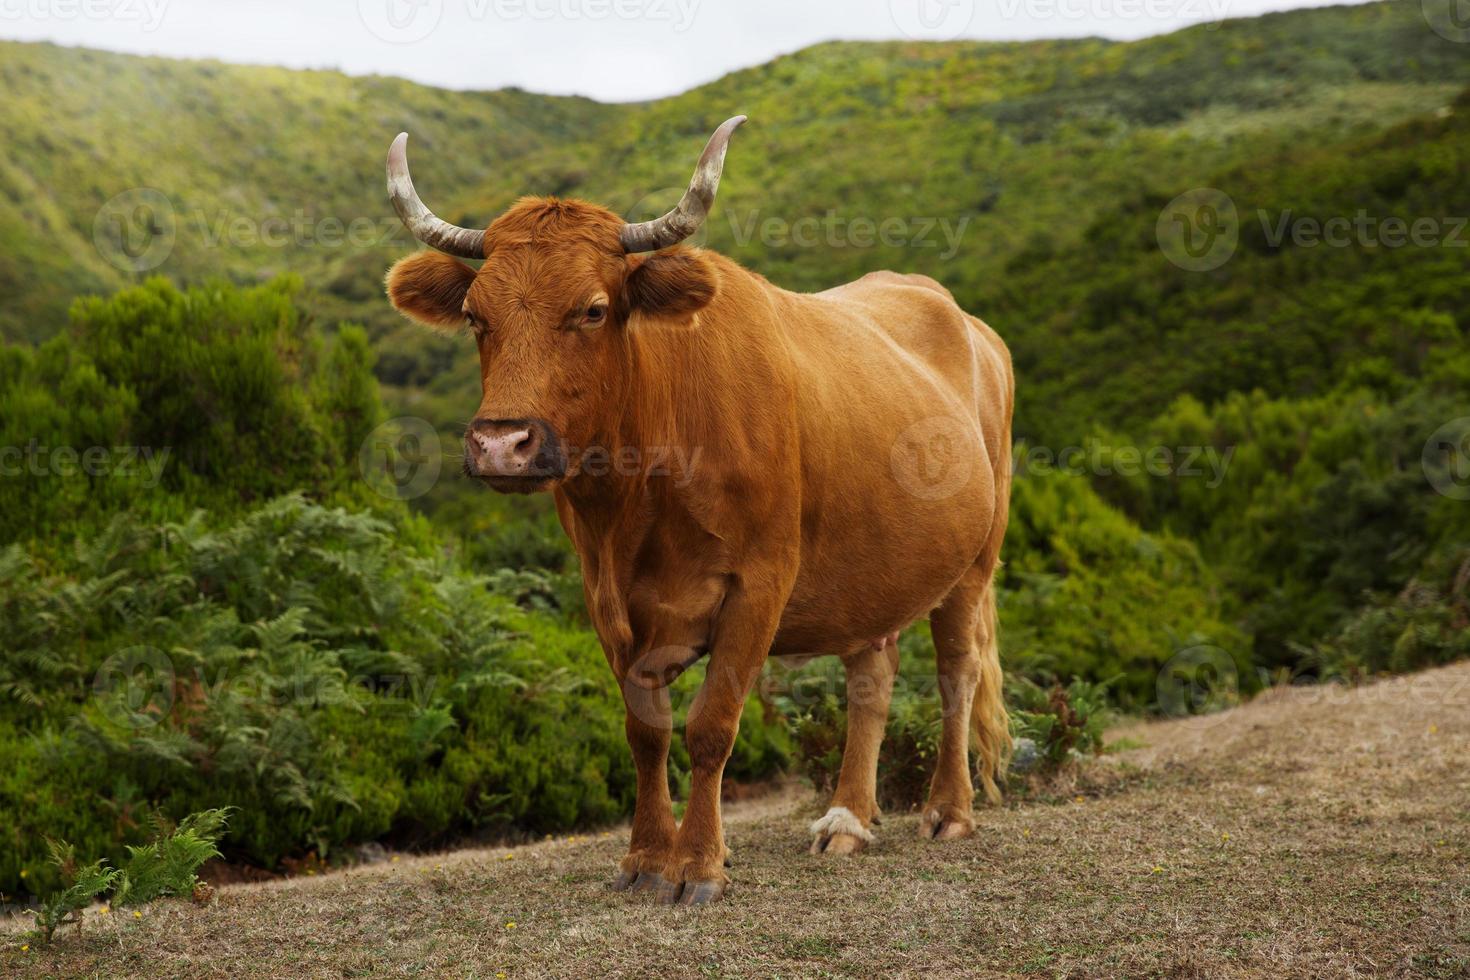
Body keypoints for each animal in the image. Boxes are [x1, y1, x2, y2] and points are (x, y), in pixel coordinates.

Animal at [385, 119, 1017, 910]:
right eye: (476, 315)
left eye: (594, 308)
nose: (502, 444)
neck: (637, 501)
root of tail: (967, 321)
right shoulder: (604, 596)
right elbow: (645, 731)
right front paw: (645, 856)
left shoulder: (761, 582)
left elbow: (710, 726)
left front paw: (699, 864)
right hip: (872, 572)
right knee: (870, 680)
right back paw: (848, 818)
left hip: (974, 562)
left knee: (957, 672)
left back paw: (949, 810)